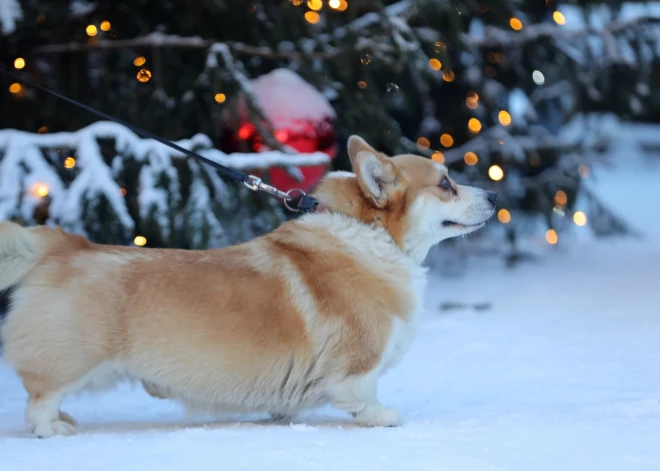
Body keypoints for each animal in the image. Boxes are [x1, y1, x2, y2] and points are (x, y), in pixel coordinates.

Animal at [0, 135, 496, 436]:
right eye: (446, 184)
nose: (494, 193)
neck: (370, 237)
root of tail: (64, 245)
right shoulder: (359, 366)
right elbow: (365, 395)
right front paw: (382, 416)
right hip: (71, 358)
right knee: (39, 400)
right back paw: (54, 427)